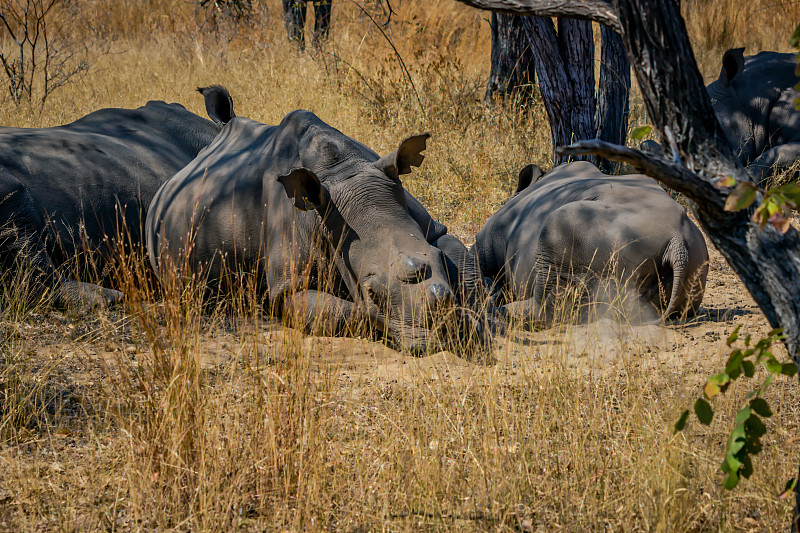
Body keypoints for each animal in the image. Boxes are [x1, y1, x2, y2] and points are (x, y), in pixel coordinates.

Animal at [148, 111, 484, 354]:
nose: (442, 341)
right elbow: (349, 312)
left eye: (437, 258)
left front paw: (478, 317)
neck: (344, 172)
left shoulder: (433, 229)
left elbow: (465, 264)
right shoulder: (287, 286)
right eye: (372, 292)